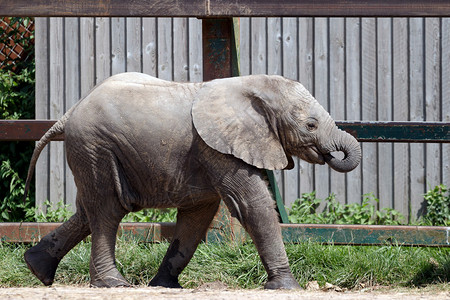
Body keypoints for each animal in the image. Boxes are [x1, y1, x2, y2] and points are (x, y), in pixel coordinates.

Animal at [24, 72, 362, 288]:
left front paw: (164, 287)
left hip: (93, 152)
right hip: (95, 147)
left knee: (88, 211)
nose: (333, 154)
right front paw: (287, 287)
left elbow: (196, 218)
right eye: (311, 125)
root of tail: (68, 114)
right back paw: (112, 284)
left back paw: (37, 269)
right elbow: (252, 204)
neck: (253, 87)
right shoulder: (217, 146)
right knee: (108, 210)